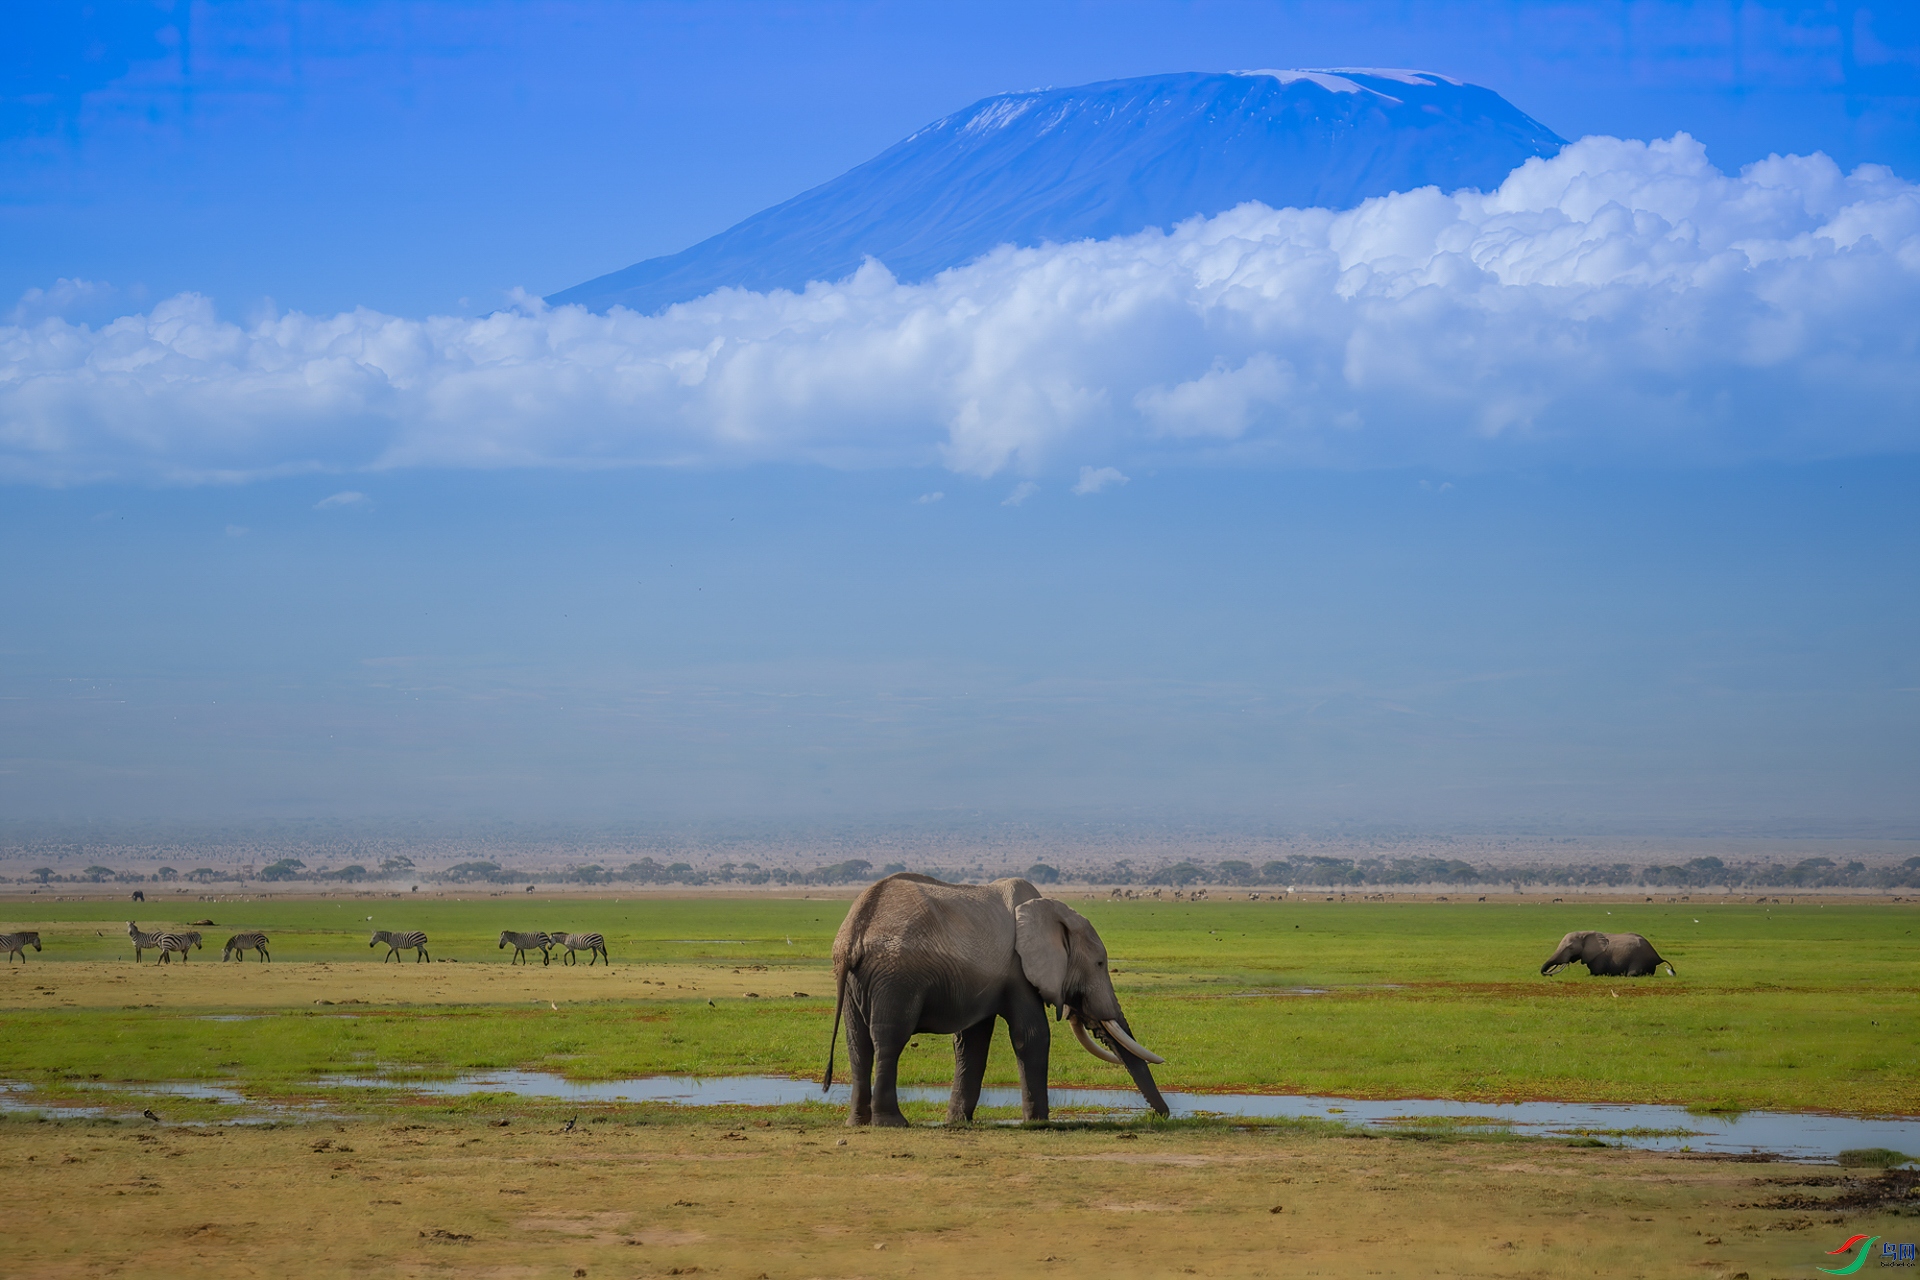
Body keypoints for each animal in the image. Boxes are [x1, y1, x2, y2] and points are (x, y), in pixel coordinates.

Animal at [824, 873, 1169, 1127]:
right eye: (1099, 963)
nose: (1164, 1116)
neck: (1050, 910)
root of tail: (853, 932)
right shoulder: (1018, 971)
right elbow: (1032, 1036)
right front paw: (1038, 1124)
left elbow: (973, 1041)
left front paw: (957, 1123)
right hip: (896, 976)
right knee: (889, 1040)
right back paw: (893, 1123)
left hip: (860, 982)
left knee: (858, 1043)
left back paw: (858, 1123)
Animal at [1540, 931, 1675, 978]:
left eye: (1570, 947)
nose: (1548, 975)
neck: (1585, 933)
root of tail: (1657, 956)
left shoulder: (1599, 957)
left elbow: (1595, 973)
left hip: (1640, 958)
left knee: (1632, 974)